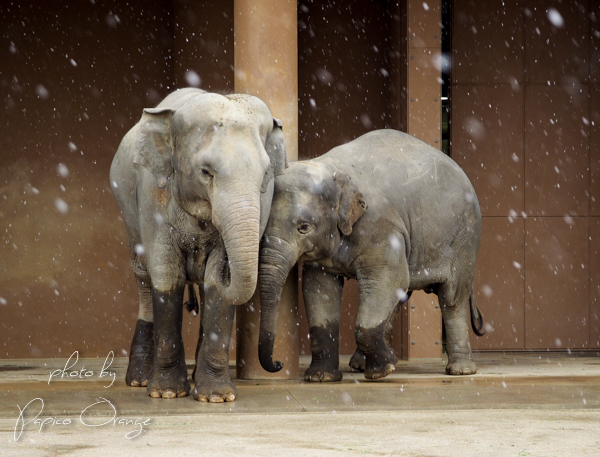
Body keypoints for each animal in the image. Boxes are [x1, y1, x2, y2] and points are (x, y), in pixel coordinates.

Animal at [111, 87, 288, 400]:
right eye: (206, 172)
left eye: (264, 174)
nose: (279, 363)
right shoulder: (153, 195)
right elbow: (167, 275)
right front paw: (167, 393)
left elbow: (217, 288)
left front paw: (216, 396)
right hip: (127, 209)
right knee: (143, 276)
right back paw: (140, 381)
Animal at [258, 128, 482, 382]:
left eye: (303, 227)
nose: (278, 362)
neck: (332, 168)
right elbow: (319, 289)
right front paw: (321, 378)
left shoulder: (381, 228)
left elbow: (388, 280)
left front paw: (383, 371)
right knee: (401, 297)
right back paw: (359, 364)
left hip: (465, 237)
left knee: (452, 297)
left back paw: (461, 370)